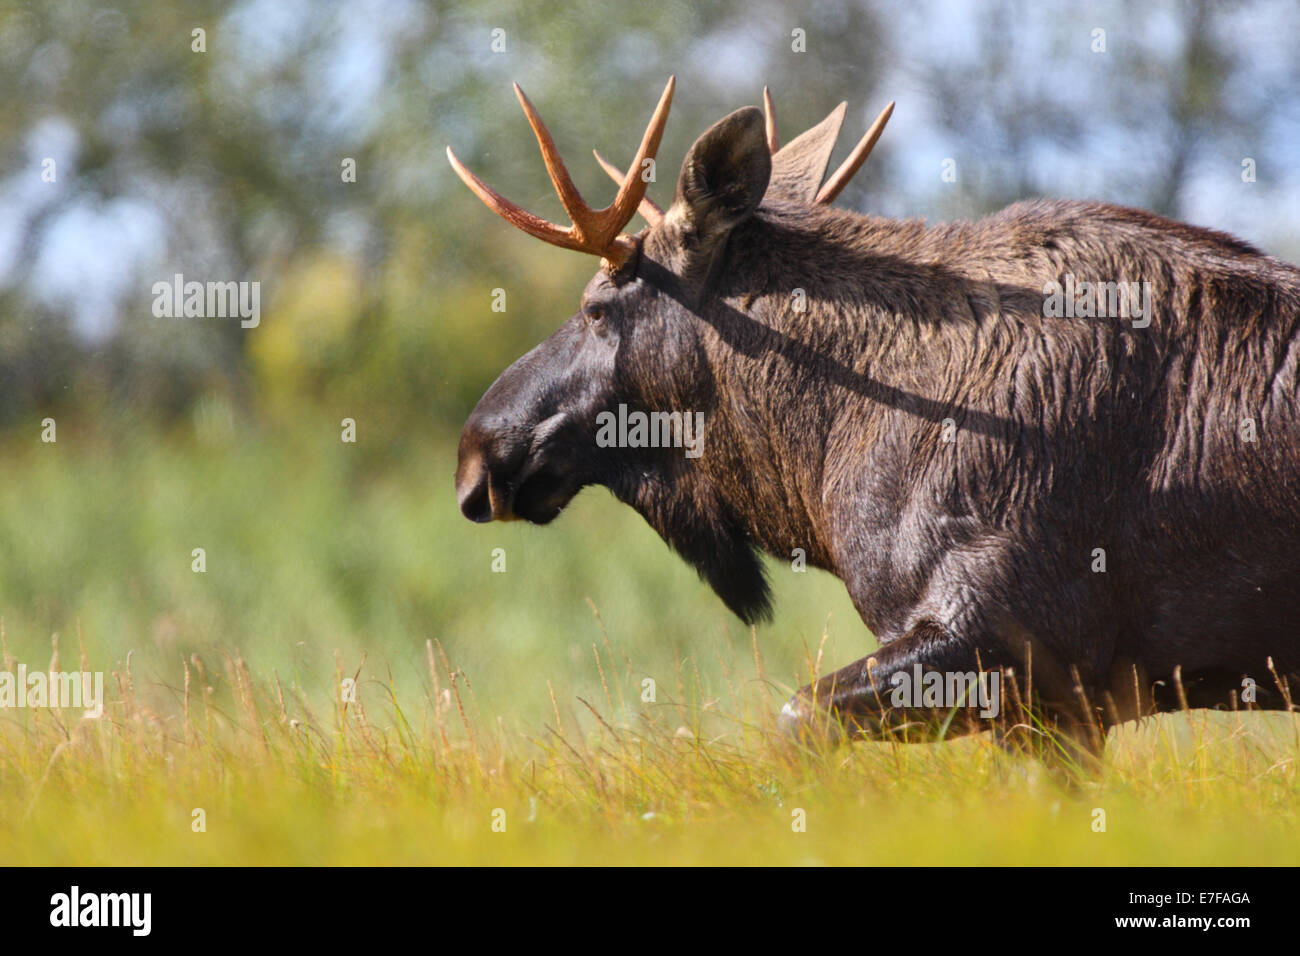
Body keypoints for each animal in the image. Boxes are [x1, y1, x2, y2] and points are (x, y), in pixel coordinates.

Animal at [449, 78, 1300, 763]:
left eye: (597, 307)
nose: (478, 452)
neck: (827, 447)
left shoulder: (1013, 641)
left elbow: (797, 721)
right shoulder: (1061, 708)